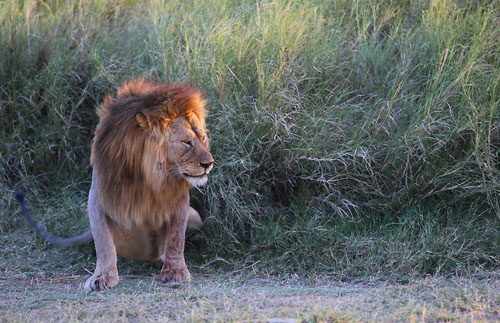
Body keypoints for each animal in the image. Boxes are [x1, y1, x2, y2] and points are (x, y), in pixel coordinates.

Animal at [14, 78, 214, 292]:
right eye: (187, 142)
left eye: (203, 138)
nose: (209, 163)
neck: (148, 175)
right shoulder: (99, 196)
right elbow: (104, 243)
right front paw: (102, 276)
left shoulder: (179, 201)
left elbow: (176, 239)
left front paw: (176, 272)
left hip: (196, 216)